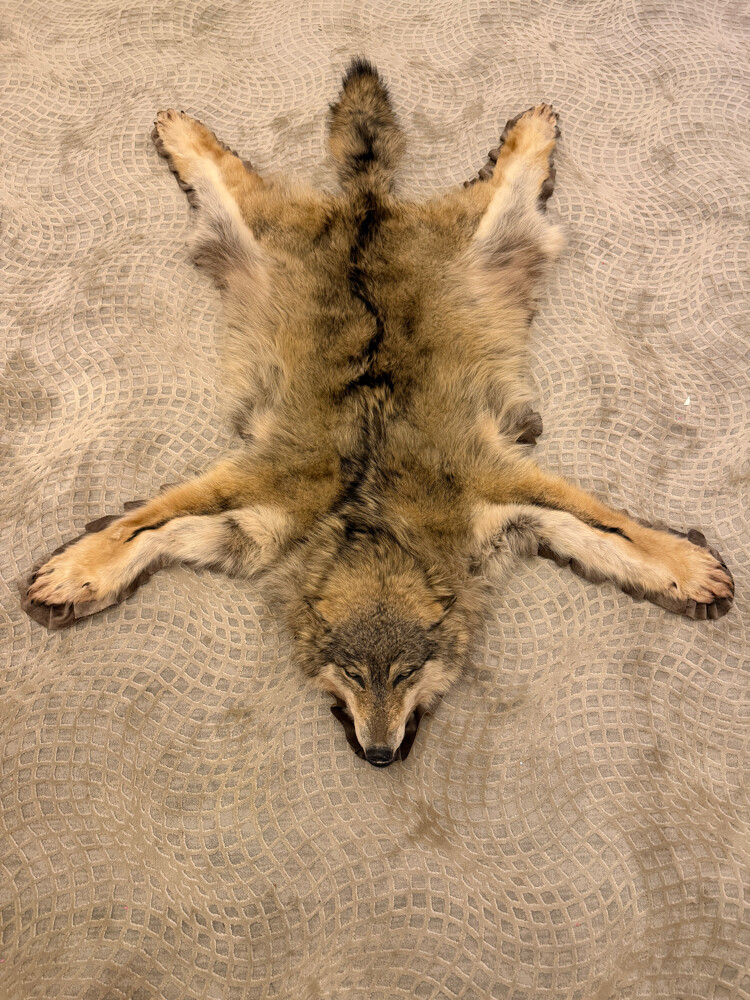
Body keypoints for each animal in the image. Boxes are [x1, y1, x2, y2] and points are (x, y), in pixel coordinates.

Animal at [23, 59, 734, 766]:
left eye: (408, 673)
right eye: (353, 674)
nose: (380, 757)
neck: (371, 515)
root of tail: (368, 205)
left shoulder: (492, 488)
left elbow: (617, 532)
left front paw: (686, 568)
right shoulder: (271, 496)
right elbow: (139, 527)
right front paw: (78, 572)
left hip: (492, 234)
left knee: (507, 173)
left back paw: (531, 131)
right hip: (250, 230)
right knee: (219, 164)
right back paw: (181, 131)